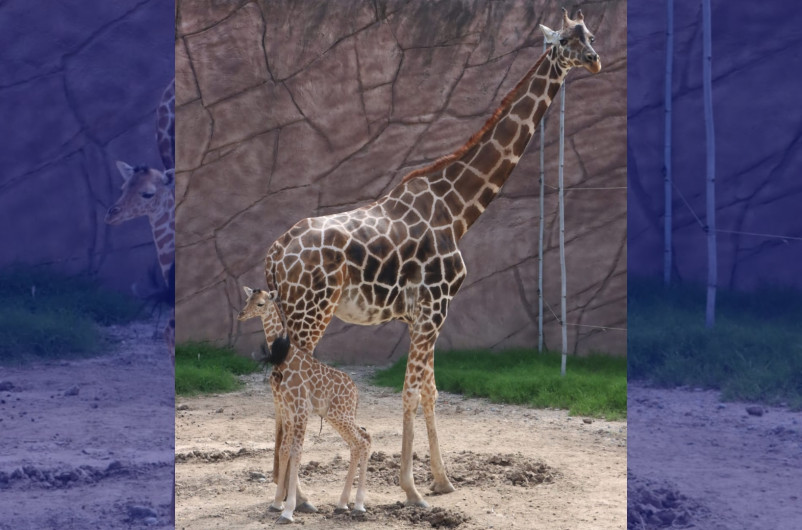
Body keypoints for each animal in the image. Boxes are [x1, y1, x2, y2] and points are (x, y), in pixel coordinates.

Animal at [238, 287, 371, 524]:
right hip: (336, 416)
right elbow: (283, 450)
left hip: (340, 415)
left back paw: (358, 505)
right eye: (247, 300)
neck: (285, 357)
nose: (241, 315)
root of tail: (356, 393)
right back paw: (342, 504)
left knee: (363, 441)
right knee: (360, 440)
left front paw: (288, 511)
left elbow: (297, 452)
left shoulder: (301, 410)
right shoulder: (288, 410)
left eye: (260, 303)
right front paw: (276, 504)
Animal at [259, 9, 601, 507]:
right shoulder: (433, 308)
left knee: (281, 384)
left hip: (290, 312)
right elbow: (410, 392)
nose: (595, 61)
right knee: (288, 384)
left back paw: (286, 490)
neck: (457, 211)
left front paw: (442, 480)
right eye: (565, 42)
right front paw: (412, 489)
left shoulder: (427, 313)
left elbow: (431, 392)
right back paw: (297, 497)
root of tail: (276, 252)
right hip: (310, 312)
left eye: (589, 35)